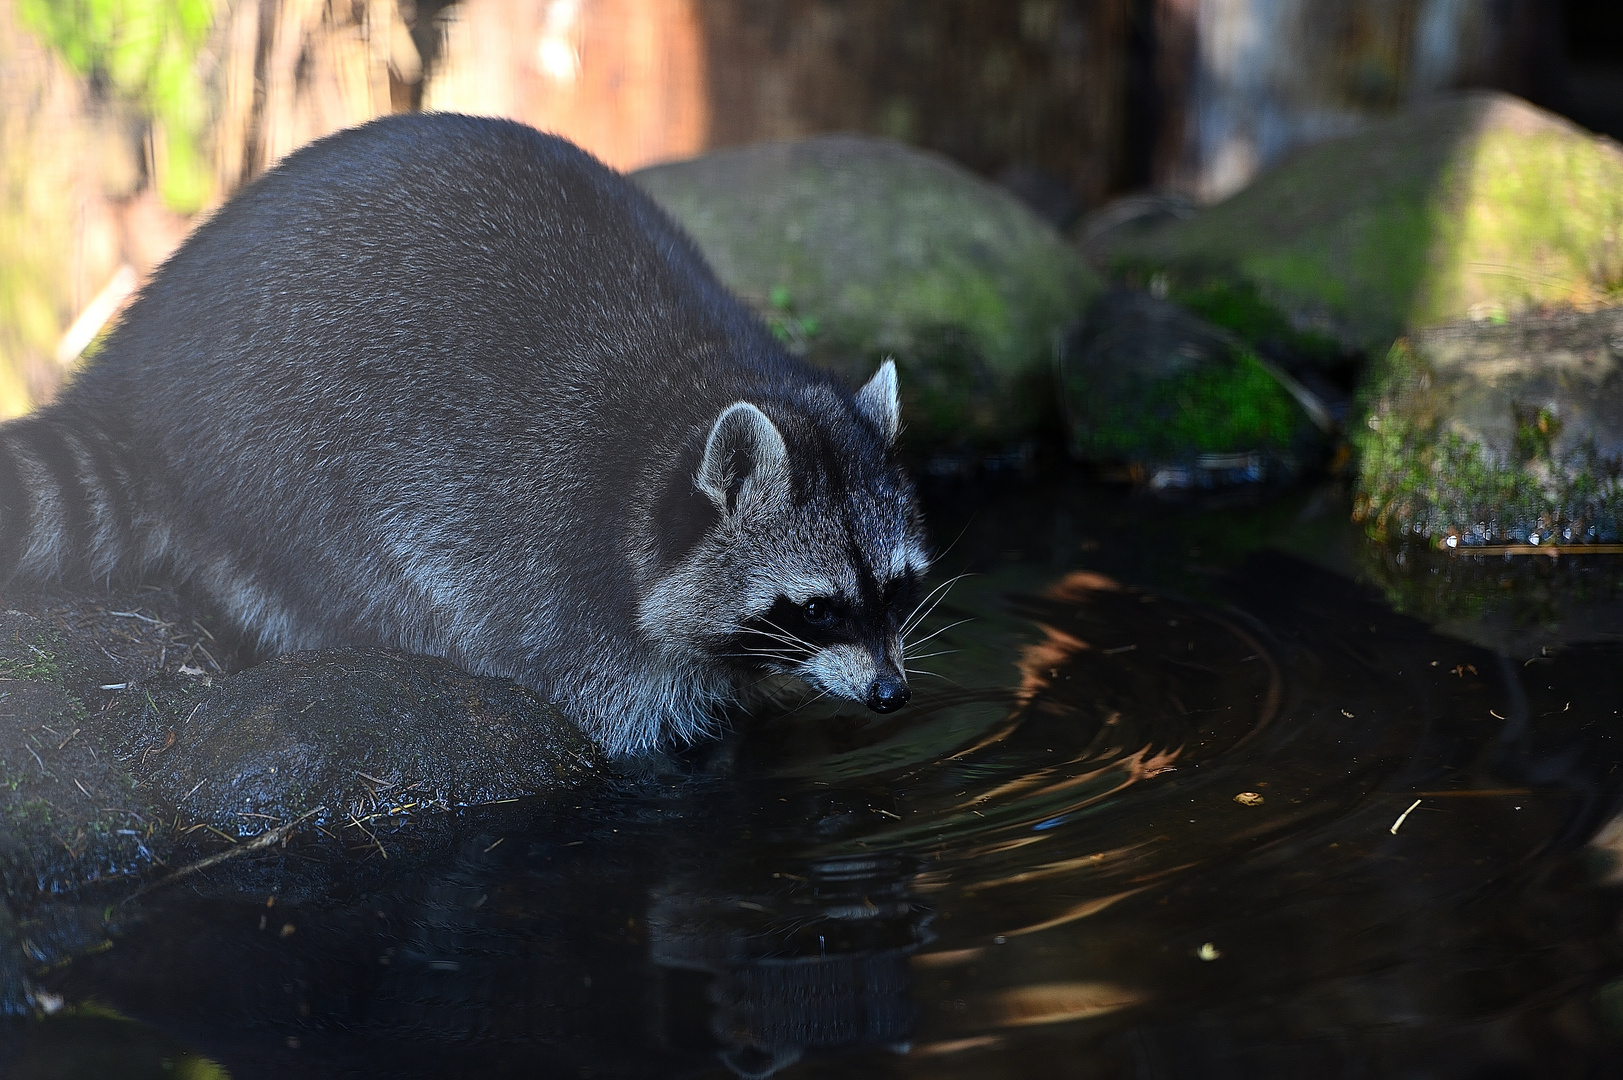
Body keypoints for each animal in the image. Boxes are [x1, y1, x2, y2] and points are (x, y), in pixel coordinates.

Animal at [0, 109, 928, 750]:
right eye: (817, 608)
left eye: (897, 589)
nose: (891, 695)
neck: (697, 390)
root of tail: (137, 378)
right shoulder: (565, 600)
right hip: (281, 465)